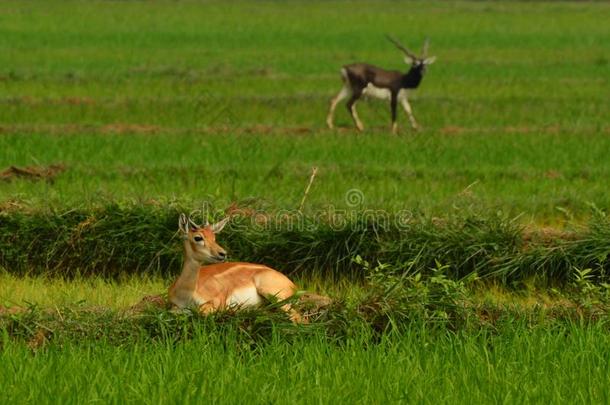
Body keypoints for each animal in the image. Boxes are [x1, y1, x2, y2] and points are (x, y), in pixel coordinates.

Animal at [169, 215, 316, 322]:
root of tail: (293, 285)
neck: (186, 293)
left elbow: (201, 312)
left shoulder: (217, 301)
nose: (222, 253)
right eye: (198, 237)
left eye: (214, 237)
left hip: (276, 296)